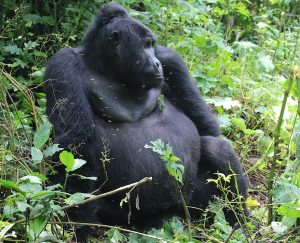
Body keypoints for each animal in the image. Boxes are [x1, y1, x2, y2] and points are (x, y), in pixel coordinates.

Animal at [44, 3, 250, 239]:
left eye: (153, 46)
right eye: (145, 45)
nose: (157, 63)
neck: (107, 68)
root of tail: (174, 210)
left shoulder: (171, 59)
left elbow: (206, 127)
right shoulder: (63, 64)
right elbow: (76, 144)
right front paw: (80, 226)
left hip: (191, 201)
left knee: (216, 148)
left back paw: (239, 221)